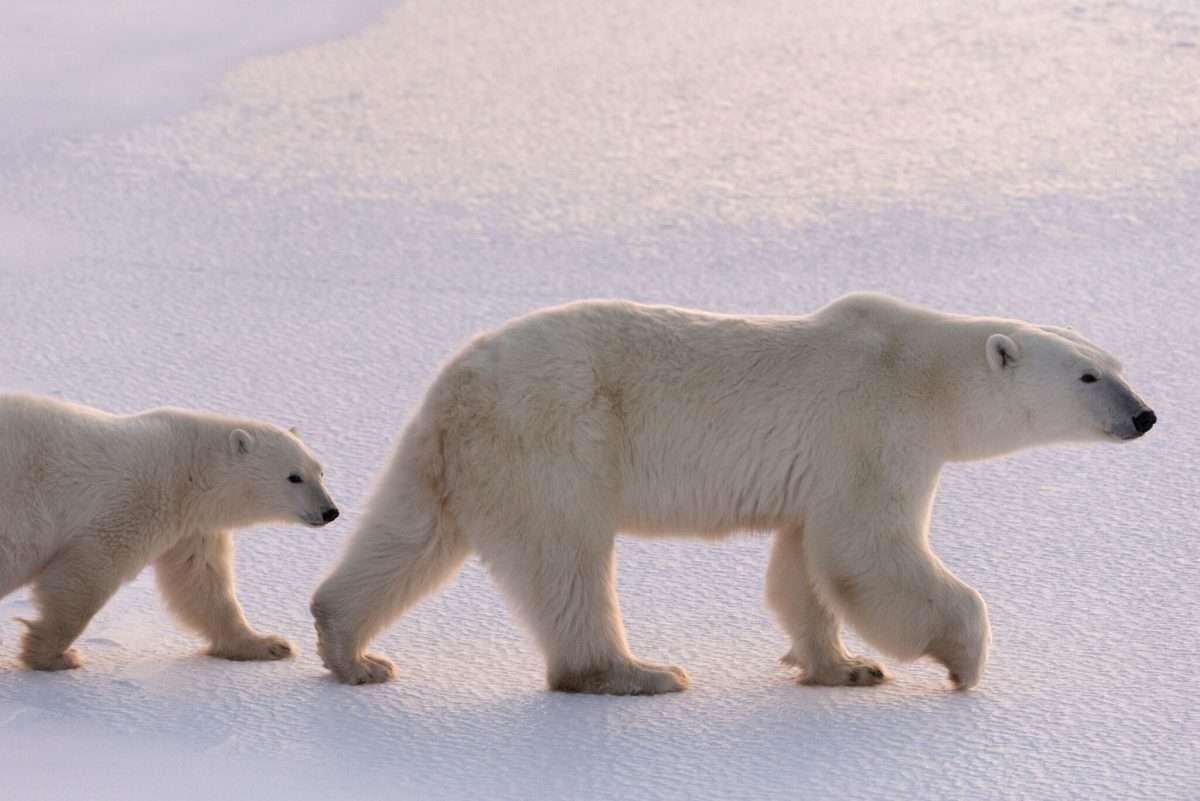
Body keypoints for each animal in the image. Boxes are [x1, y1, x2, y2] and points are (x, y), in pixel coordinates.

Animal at [0, 393, 339, 671]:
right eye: (294, 477)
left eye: (320, 471)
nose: (330, 511)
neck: (189, 469)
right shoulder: (137, 501)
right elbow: (88, 572)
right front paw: (53, 655)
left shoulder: (192, 527)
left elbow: (201, 582)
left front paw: (267, 644)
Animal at [310, 293, 1156, 693]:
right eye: (1088, 376)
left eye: (1117, 363)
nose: (1146, 415)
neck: (923, 370)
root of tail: (459, 381)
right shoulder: (871, 428)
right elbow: (868, 552)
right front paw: (963, 660)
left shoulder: (820, 467)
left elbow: (802, 567)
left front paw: (843, 666)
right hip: (552, 440)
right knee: (566, 561)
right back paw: (637, 672)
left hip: (450, 452)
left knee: (407, 538)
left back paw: (352, 649)